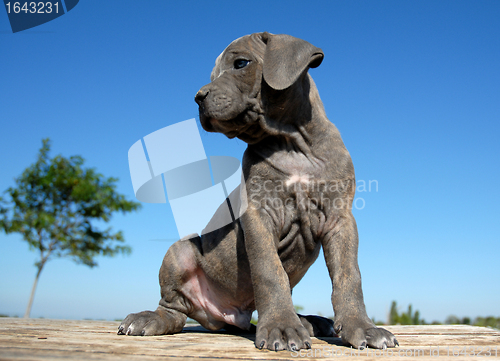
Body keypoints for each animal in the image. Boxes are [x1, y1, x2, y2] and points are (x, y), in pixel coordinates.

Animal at [118, 32, 398, 350]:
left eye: (241, 63)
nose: (198, 97)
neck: (291, 143)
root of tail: (226, 315)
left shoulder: (341, 219)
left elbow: (349, 276)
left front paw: (361, 327)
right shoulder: (259, 215)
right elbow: (269, 272)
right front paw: (282, 327)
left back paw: (310, 321)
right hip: (180, 251)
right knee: (173, 310)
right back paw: (149, 319)